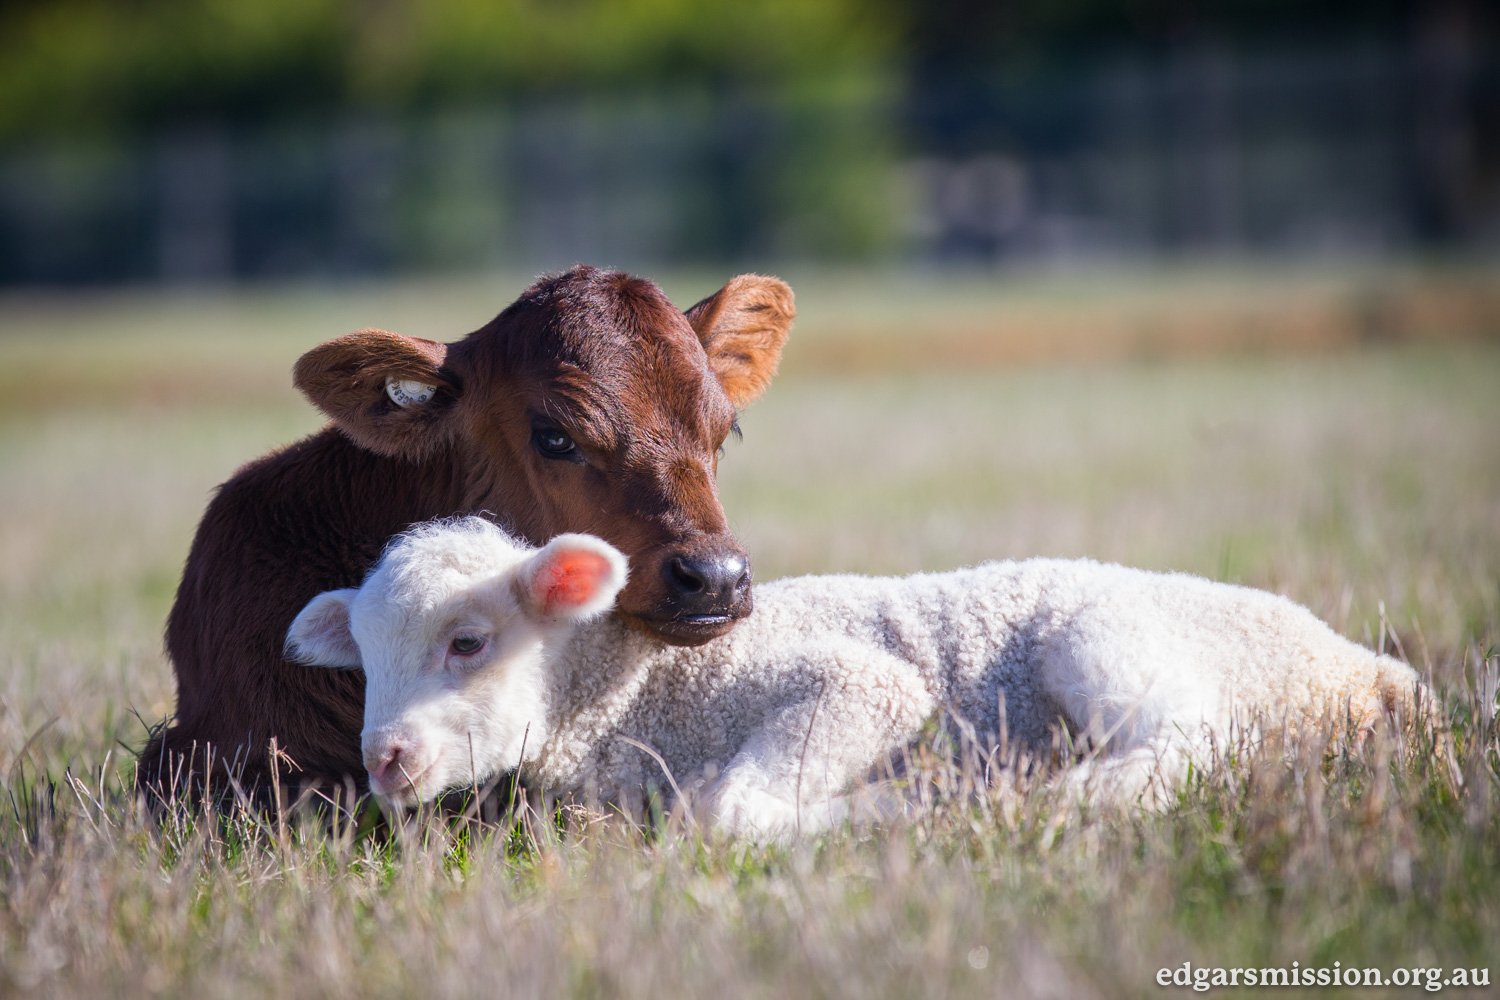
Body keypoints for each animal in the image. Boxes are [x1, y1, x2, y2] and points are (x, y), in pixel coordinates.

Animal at [286, 515, 1422, 839]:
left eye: (467, 644)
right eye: (366, 661)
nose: (386, 760)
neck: (635, 688)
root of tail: (1366, 674)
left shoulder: (860, 684)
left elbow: (726, 812)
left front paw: (881, 806)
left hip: (1110, 636)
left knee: (1182, 748)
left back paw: (1011, 798)